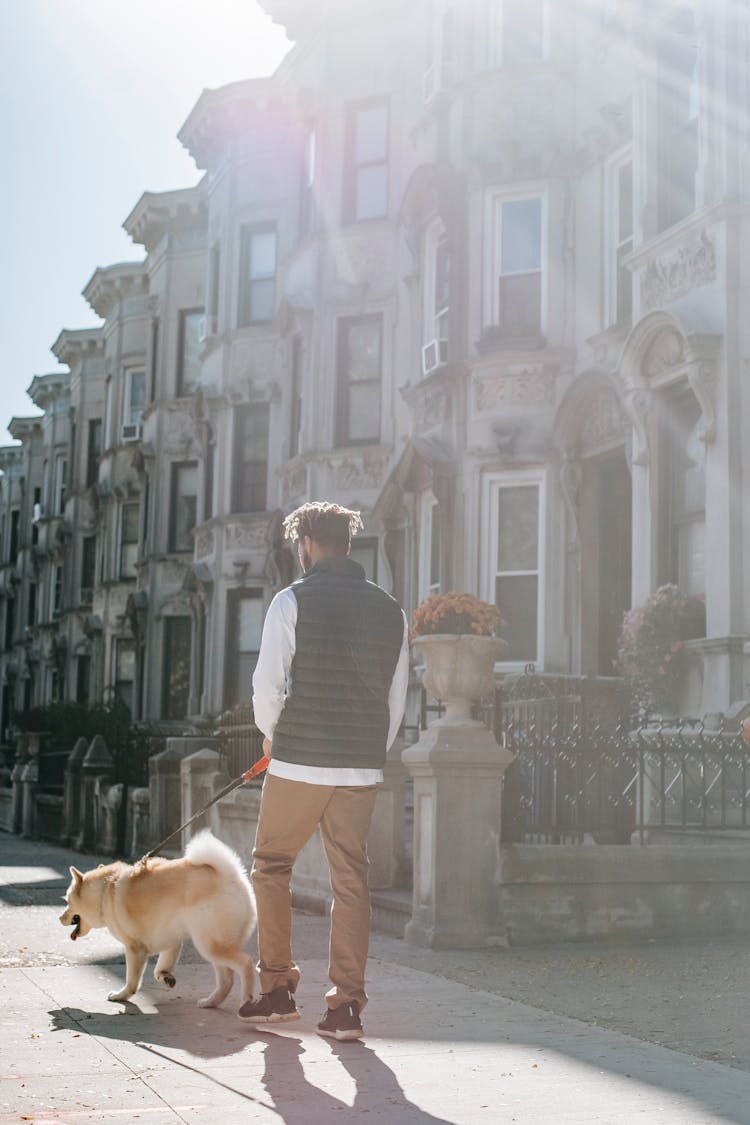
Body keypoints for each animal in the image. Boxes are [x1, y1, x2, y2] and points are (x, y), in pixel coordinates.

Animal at [59, 828, 258, 1012]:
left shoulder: (134, 949)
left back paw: (246, 1001)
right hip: (212, 946)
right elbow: (158, 969)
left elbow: (132, 980)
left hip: (210, 945)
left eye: (67, 901)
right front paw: (166, 977)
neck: (104, 892)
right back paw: (210, 1002)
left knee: (246, 964)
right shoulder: (171, 940)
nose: (60, 917)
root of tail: (231, 877)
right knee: (226, 980)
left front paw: (122, 996)